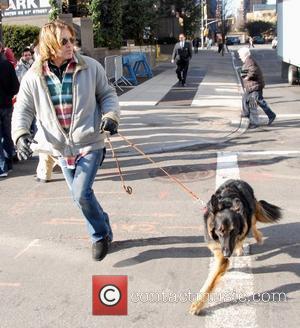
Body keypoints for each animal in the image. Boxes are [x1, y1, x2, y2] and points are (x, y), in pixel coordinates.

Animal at [190, 179, 282, 316]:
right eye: (220, 231)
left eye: (234, 231)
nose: (227, 254)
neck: (227, 204)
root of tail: (238, 180)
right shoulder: (218, 249)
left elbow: (210, 282)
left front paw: (197, 304)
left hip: (249, 215)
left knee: (252, 223)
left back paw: (256, 238)